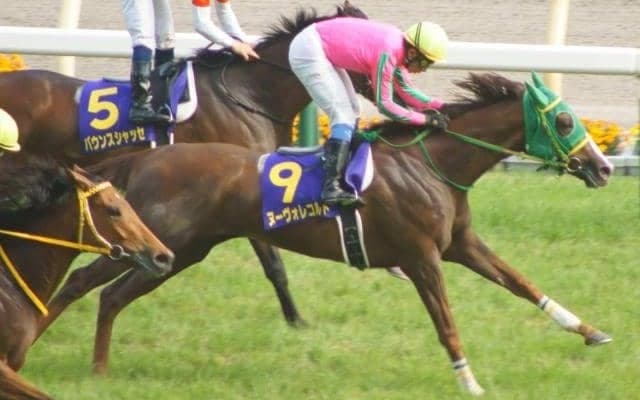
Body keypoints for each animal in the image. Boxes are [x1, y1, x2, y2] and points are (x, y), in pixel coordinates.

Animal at [55, 72, 613, 392]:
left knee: (108, 296)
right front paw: (471, 384)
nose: (604, 168)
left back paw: (96, 368)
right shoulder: (422, 257)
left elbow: (523, 283)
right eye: (565, 122)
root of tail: (146, 158)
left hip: (178, 253)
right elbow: (447, 324)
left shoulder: (461, 245)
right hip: (156, 243)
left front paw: (591, 331)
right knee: (85, 283)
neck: (431, 165)